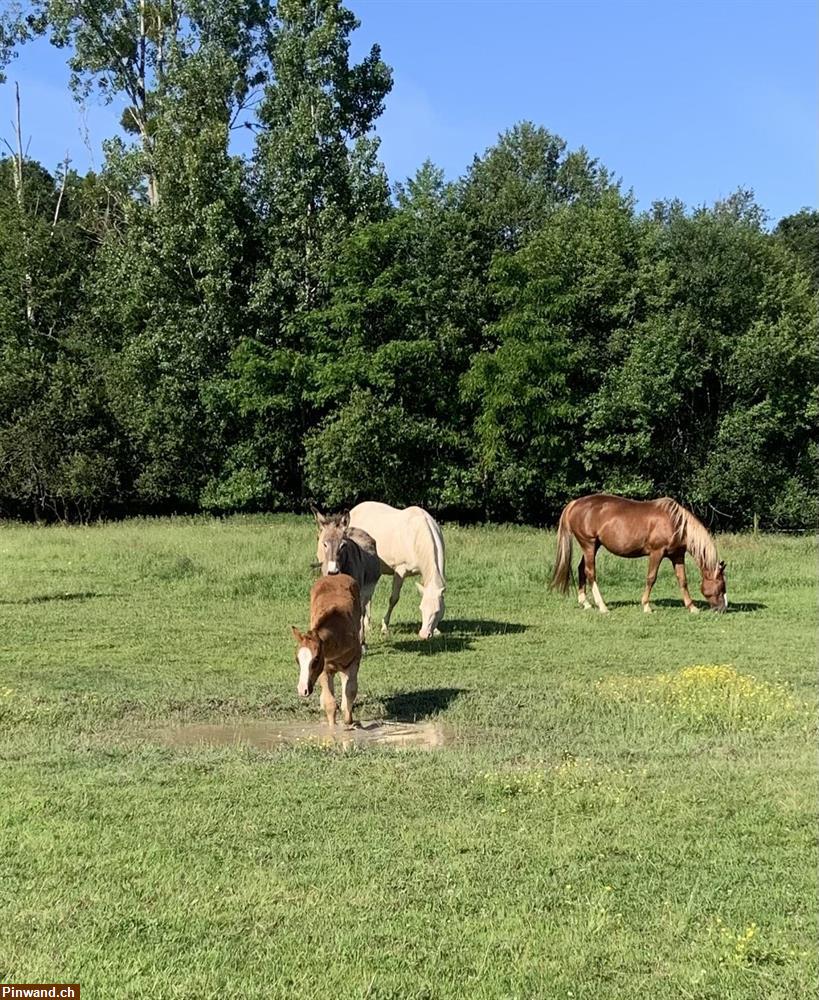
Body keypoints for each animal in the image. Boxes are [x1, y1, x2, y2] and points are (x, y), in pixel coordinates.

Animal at [292, 572, 362, 728]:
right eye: (297, 660)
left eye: (316, 659)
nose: (302, 690)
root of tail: (335, 575)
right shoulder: (324, 669)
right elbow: (330, 703)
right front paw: (332, 728)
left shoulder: (353, 662)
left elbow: (350, 691)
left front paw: (349, 722)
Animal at [314, 508, 382, 640]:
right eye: (324, 544)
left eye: (343, 545)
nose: (333, 572)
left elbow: (358, 616)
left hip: (366, 591)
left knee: (363, 612)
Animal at [350, 504, 446, 636]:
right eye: (421, 609)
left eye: (437, 611)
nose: (423, 634)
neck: (416, 535)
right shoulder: (400, 571)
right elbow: (394, 599)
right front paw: (385, 626)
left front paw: (436, 630)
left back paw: (367, 624)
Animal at [556, 494, 728, 612]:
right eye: (721, 585)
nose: (722, 608)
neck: (676, 523)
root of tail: (575, 503)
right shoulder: (657, 553)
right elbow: (651, 578)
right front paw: (646, 606)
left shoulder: (677, 556)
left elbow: (682, 580)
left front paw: (692, 607)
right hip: (589, 544)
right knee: (590, 573)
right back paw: (602, 606)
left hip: (593, 546)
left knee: (581, 569)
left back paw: (585, 603)